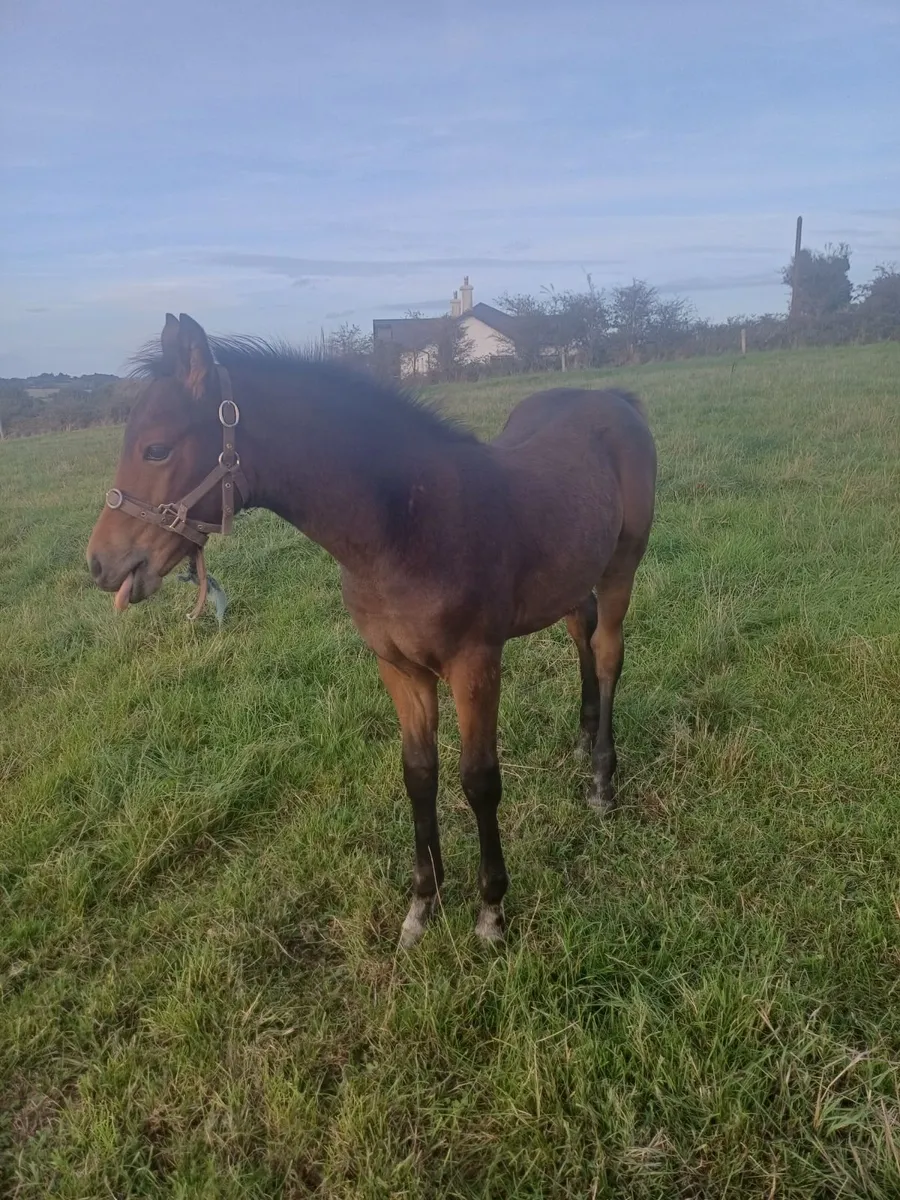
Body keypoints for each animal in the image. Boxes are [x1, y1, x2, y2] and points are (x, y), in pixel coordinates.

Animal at [86, 314, 657, 946]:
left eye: (156, 448)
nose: (102, 565)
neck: (406, 522)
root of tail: (615, 398)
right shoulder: (398, 667)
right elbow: (419, 774)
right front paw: (421, 907)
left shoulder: (476, 662)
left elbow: (479, 780)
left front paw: (490, 912)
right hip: (571, 573)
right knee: (581, 631)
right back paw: (581, 740)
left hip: (622, 565)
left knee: (607, 652)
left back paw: (602, 783)